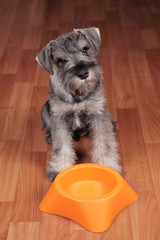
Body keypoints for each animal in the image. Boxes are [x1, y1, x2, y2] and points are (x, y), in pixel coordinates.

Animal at [35, 26, 122, 180]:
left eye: (85, 49)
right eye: (61, 61)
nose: (83, 73)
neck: (78, 94)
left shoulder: (97, 113)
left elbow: (105, 143)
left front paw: (108, 165)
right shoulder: (59, 117)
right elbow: (61, 146)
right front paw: (59, 168)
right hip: (45, 109)